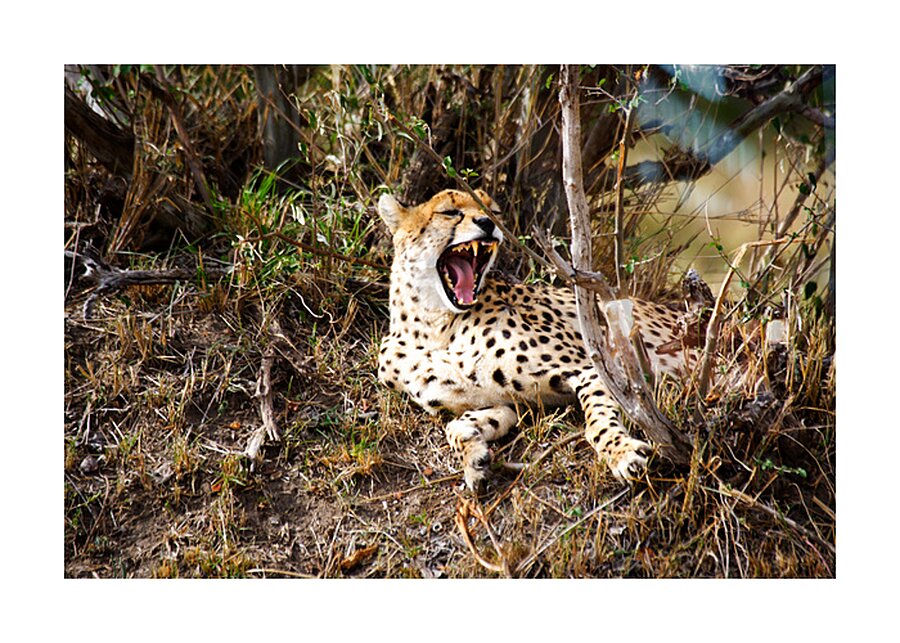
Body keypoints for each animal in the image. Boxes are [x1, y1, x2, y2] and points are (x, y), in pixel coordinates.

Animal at [376, 188, 693, 491]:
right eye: (449, 211)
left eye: (492, 210)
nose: (487, 223)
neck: (435, 326)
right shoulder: (506, 403)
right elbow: (456, 426)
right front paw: (474, 458)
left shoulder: (593, 367)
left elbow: (598, 420)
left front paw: (621, 452)